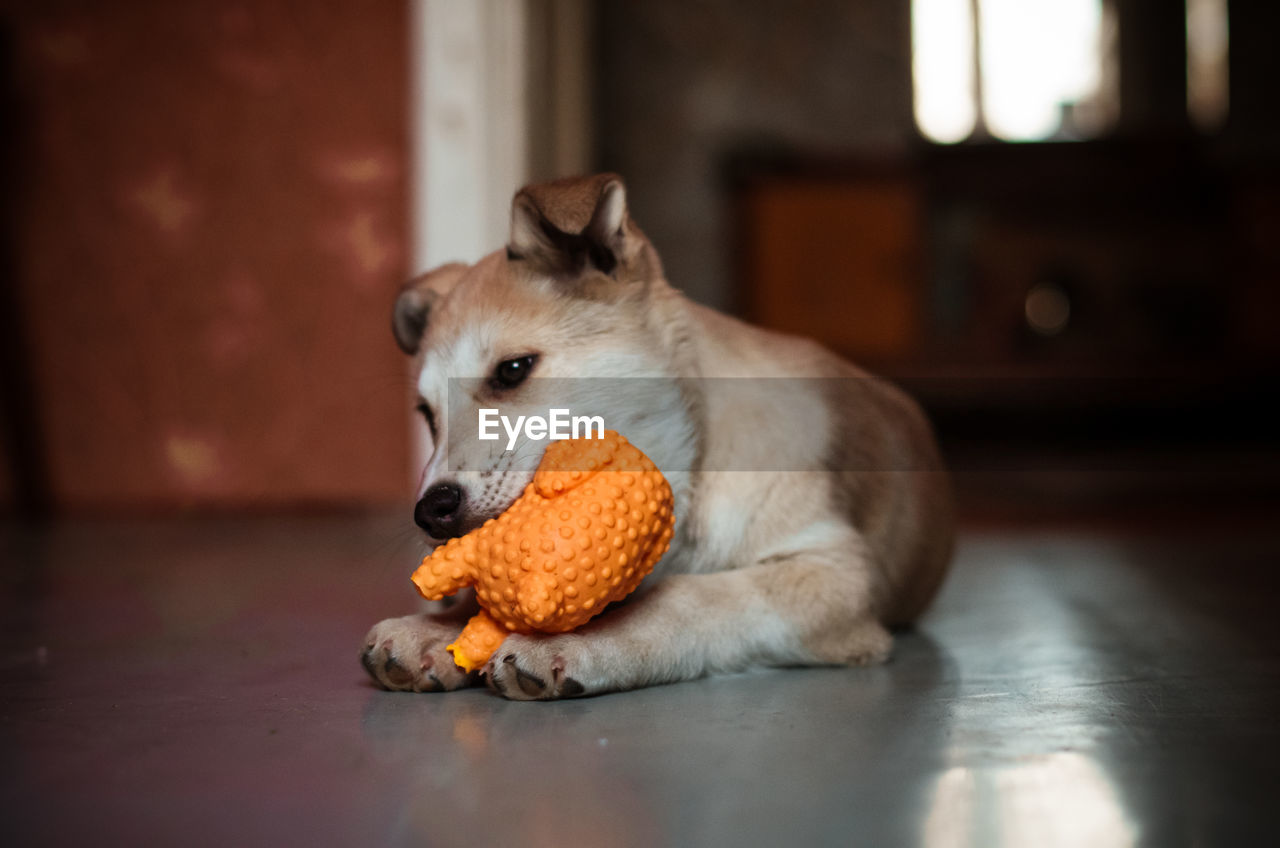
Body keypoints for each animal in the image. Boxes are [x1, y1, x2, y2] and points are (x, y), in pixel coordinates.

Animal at [360, 174, 952, 701]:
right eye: (426, 413)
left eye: (512, 371)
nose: (430, 512)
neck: (696, 462)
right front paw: (439, 629)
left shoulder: (832, 573)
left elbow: (685, 597)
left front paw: (583, 642)